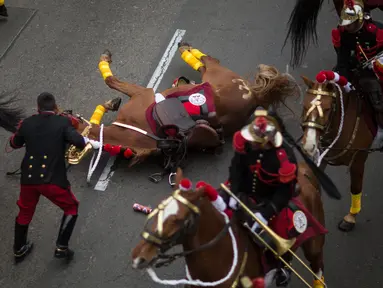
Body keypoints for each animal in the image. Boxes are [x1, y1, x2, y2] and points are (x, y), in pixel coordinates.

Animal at [70, 42, 302, 183]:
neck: (135, 131)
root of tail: (253, 94)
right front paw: (109, 103)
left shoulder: (142, 94)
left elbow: (111, 81)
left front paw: (105, 62)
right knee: (203, 64)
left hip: (214, 72)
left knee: (208, 60)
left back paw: (184, 47)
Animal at [130, 166, 328, 288]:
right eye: (160, 207)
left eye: (179, 219)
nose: (138, 256)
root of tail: (305, 173)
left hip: (314, 247)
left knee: (317, 269)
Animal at [300, 72, 378, 232]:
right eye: (305, 105)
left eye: (327, 109)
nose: (309, 145)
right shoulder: (321, 158)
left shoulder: (358, 159)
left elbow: (356, 187)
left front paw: (350, 218)